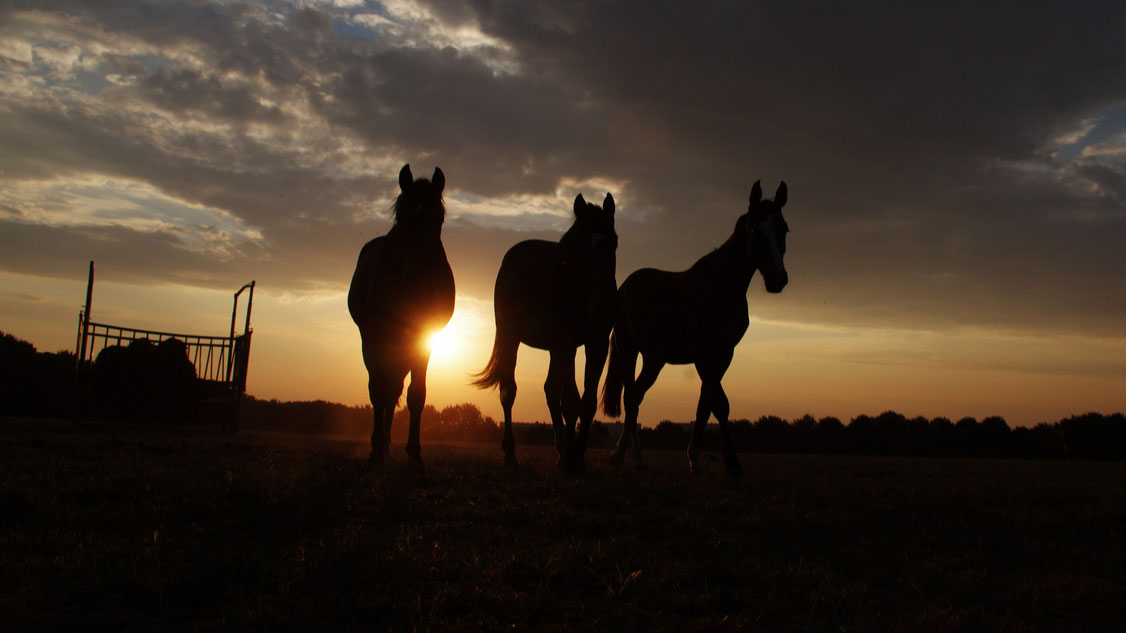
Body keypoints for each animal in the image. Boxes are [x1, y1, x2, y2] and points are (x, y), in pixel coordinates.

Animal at [346, 163, 452, 464]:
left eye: (438, 219)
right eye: (401, 219)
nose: (416, 284)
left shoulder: (424, 337)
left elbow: (416, 394)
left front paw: (414, 453)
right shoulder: (375, 337)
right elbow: (379, 390)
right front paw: (376, 449)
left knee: (394, 386)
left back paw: (387, 445)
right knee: (382, 387)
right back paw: (379, 447)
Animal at [472, 192, 621, 468]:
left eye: (613, 242)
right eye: (577, 248)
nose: (595, 301)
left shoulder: (596, 344)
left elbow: (587, 402)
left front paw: (577, 454)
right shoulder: (566, 344)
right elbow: (571, 401)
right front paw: (571, 462)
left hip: (554, 348)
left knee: (550, 390)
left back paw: (561, 448)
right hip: (511, 337)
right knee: (509, 391)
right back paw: (511, 453)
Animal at [603, 179, 788, 473]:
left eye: (784, 229)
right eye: (755, 229)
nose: (777, 279)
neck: (720, 289)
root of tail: (625, 286)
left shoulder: (724, 355)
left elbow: (706, 403)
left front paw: (696, 458)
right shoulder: (703, 356)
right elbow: (720, 403)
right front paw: (732, 462)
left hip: (654, 358)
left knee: (635, 397)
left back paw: (628, 455)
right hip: (629, 350)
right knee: (631, 397)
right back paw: (629, 456)